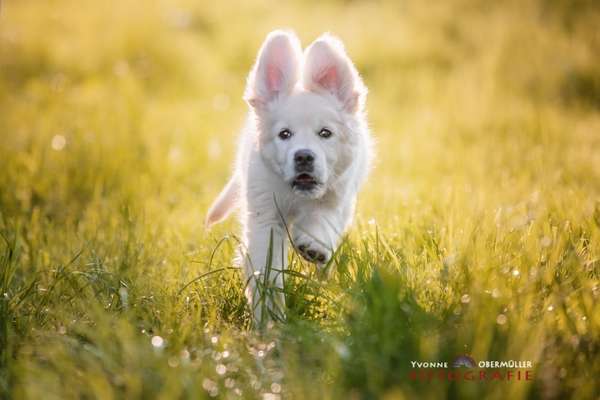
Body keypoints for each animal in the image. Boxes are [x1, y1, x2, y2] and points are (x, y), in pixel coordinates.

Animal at [207, 31, 376, 324]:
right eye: (284, 134)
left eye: (325, 133)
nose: (304, 157)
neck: (296, 195)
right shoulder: (265, 213)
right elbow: (268, 267)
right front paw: (270, 316)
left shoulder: (338, 195)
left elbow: (322, 218)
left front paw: (313, 245)